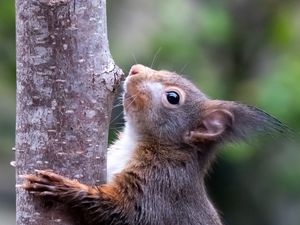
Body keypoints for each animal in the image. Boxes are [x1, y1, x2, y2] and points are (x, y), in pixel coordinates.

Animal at [19, 64, 290, 224]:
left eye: (173, 97)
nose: (135, 69)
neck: (135, 141)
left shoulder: (159, 187)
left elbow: (119, 211)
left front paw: (61, 187)